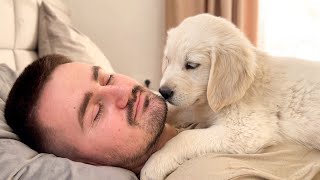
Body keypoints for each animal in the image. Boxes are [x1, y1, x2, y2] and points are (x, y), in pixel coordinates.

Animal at [141, 13, 320, 179]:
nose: (164, 91)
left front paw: (155, 164)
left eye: (191, 65)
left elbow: (186, 136)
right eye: (168, 60)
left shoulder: (246, 130)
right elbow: (172, 109)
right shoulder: (198, 106)